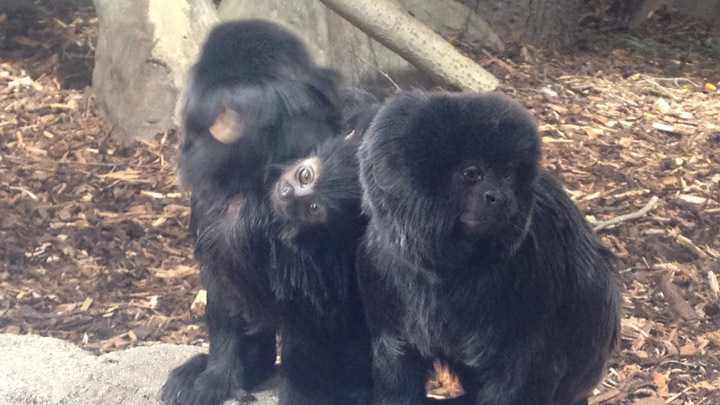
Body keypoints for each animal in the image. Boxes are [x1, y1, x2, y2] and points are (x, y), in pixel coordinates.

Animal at [356, 90, 622, 405]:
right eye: (472, 173)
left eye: (507, 175)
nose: (500, 197)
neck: (447, 272)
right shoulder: (376, 264)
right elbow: (396, 364)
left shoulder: (531, 267)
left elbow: (524, 375)